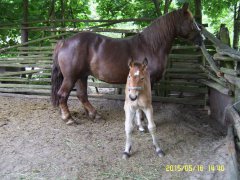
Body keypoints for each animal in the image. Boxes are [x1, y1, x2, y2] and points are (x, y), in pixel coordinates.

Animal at [50, 2, 202, 124]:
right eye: (191, 20)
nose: (202, 39)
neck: (151, 46)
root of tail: (64, 42)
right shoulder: (149, 80)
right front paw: (143, 120)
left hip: (81, 76)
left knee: (82, 96)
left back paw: (95, 115)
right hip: (71, 77)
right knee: (62, 95)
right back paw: (68, 118)